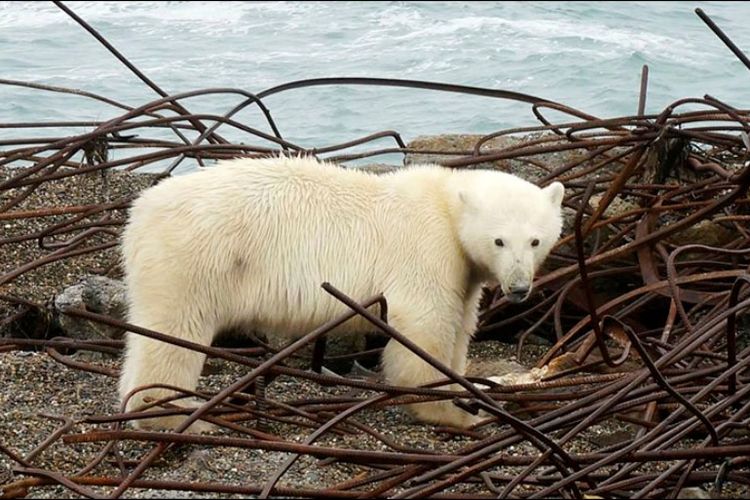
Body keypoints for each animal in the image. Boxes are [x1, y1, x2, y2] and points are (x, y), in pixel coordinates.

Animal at [119, 156, 564, 430]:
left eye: (536, 241)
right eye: (499, 240)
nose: (519, 288)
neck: (445, 204)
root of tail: (139, 213)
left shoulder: (463, 271)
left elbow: (460, 323)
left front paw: (462, 389)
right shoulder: (426, 247)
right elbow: (424, 324)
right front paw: (451, 412)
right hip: (194, 260)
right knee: (174, 334)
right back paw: (170, 413)